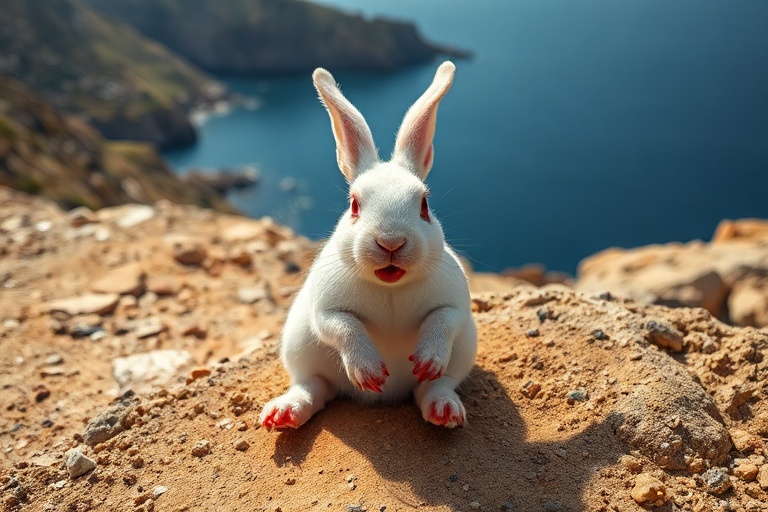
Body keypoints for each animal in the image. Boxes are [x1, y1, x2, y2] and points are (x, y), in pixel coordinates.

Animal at [259, 61, 477, 430]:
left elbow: (445, 319)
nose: (390, 242)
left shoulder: (456, 304)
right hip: (301, 351)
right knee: (312, 387)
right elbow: (342, 327)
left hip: (463, 353)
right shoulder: (326, 309)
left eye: (424, 204)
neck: (390, 289)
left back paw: (443, 409)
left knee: (435, 385)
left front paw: (428, 358)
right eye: (354, 205)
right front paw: (369, 371)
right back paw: (285, 412)